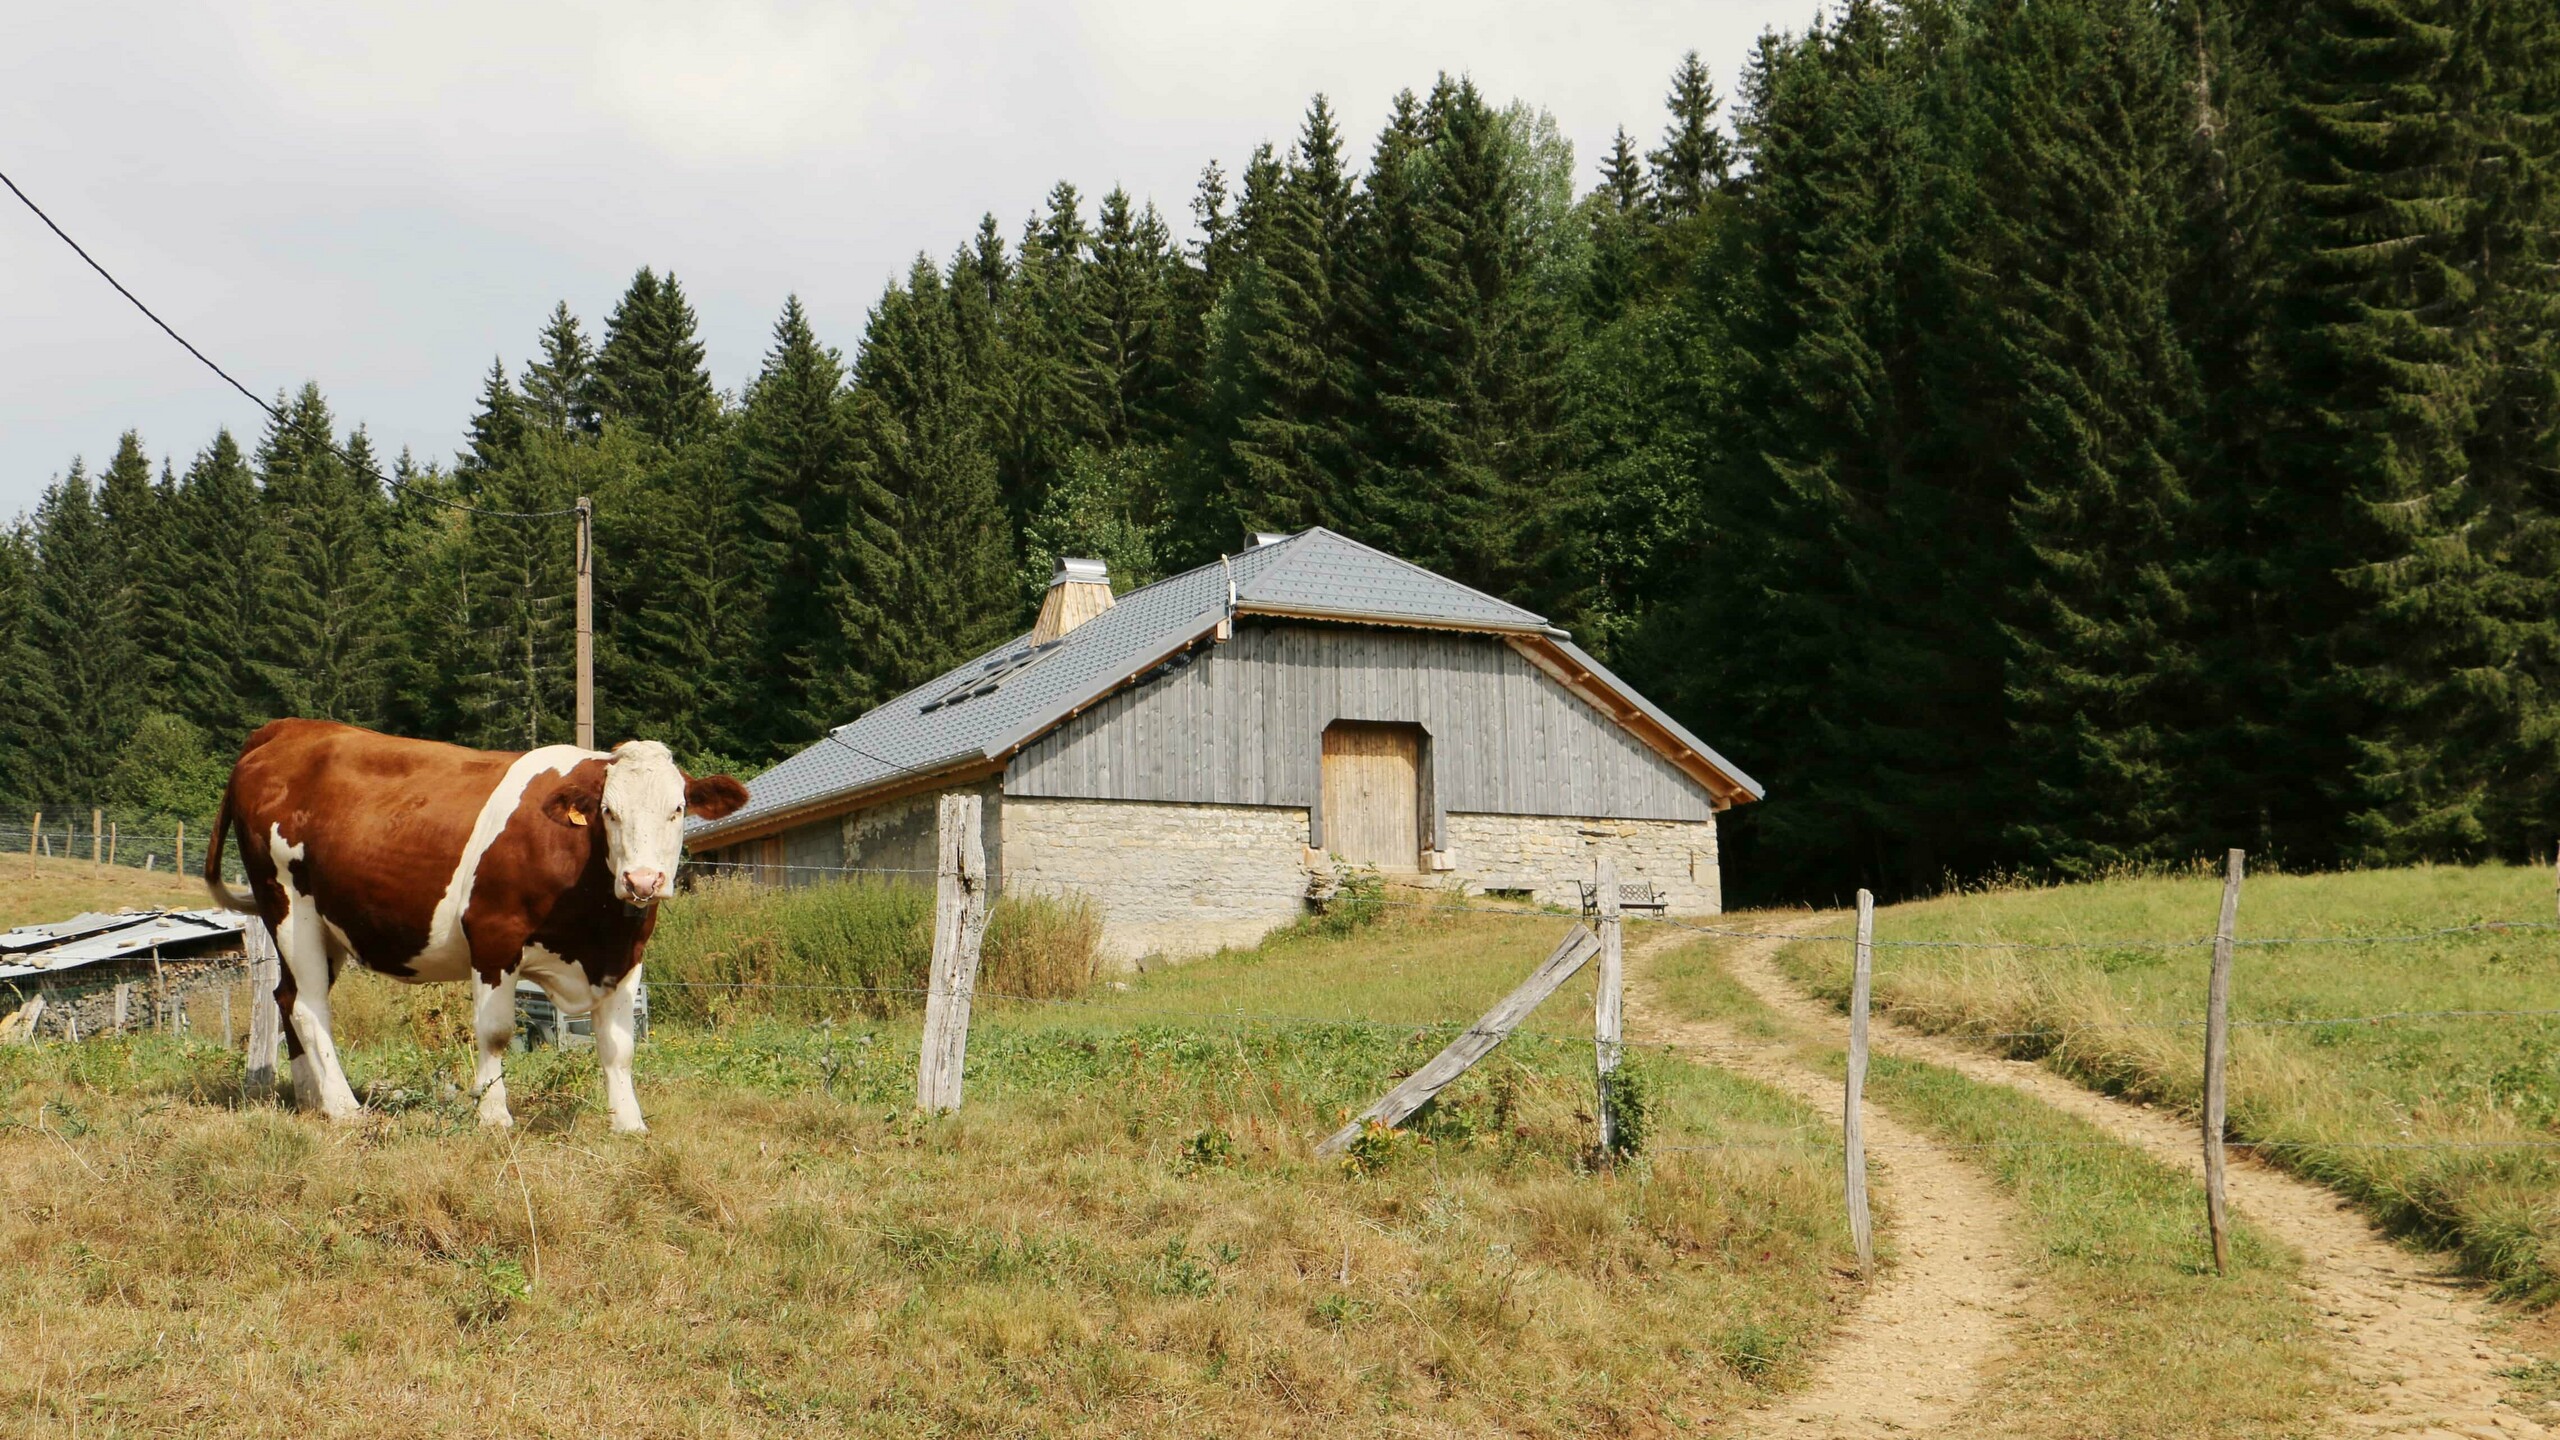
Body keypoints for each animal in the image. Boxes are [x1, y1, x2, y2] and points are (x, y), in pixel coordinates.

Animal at [204, 717, 747, 1132]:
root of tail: (286, 727)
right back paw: (342, 1107)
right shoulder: (493, 934)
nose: (643, 880)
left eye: (678, 809)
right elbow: (497, 1032)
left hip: (323, 926)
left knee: (286, 996)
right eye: (608, 812)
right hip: (288, 906)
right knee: (309, 1005)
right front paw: (492, 1114)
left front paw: (629, 1124)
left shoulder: (625, 955)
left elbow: (619, 1045)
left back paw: (309, 1097)